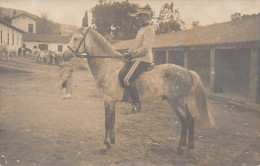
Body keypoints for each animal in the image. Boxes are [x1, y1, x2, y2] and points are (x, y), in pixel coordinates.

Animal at [62, 27, 213, 154]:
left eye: (75, 38)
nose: (63, 55)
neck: (108, 67)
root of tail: (187, 71)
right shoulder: (112, 102)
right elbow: (112, 122)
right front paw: (111, 142)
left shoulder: (108, 101)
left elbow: (107, 123)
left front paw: (105, 145)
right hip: (174, 102)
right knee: (184, 122)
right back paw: (182, 146)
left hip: (179, 102)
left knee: (189, 120)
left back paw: (187, 147)